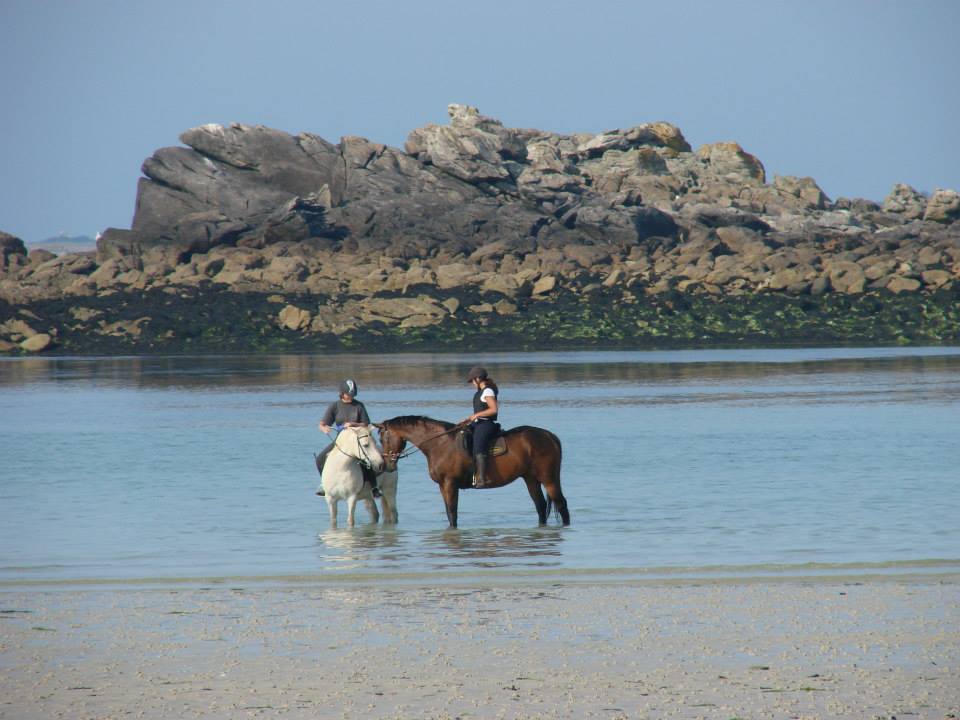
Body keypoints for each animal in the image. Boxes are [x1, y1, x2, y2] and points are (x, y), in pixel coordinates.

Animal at [376, 416, 568, 528]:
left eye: (383, 438)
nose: (387, 465)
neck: (440, 444)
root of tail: (549, 435)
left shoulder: (450, 483)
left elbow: (452, 512)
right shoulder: (442, 486)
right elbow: (449, 512)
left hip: (548, 478)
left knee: (561, 504)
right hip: (530, 478)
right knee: (540, 505)